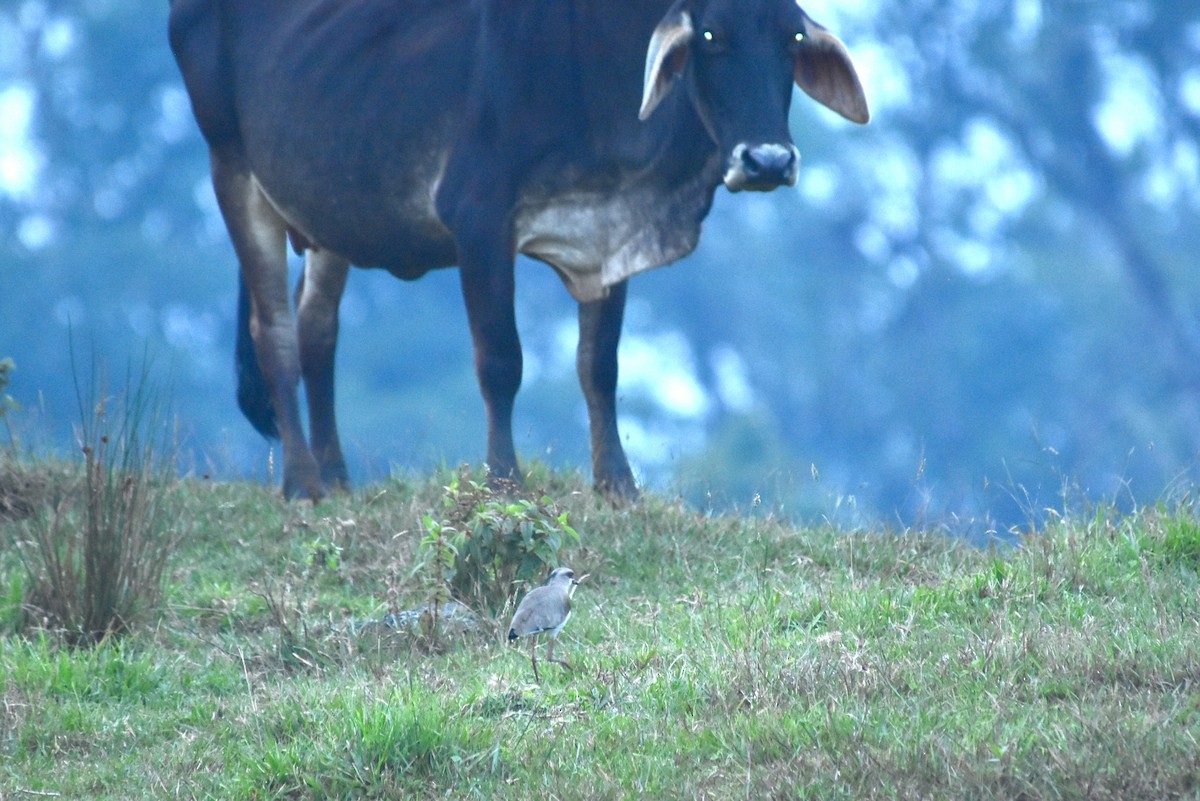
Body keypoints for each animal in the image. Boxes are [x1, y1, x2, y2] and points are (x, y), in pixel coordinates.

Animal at [169, 0, 868, 501]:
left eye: (792, 39)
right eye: (712, 35)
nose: (768, 160)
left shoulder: (609, 234)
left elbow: (599, 364)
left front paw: (618, 485)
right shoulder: (478, 218)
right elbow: (501, 362)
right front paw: (504, 479)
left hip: (330, 211)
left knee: (318, 330)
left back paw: (337, 476)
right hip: (232, 169)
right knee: (275, 332)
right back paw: (302, 482)